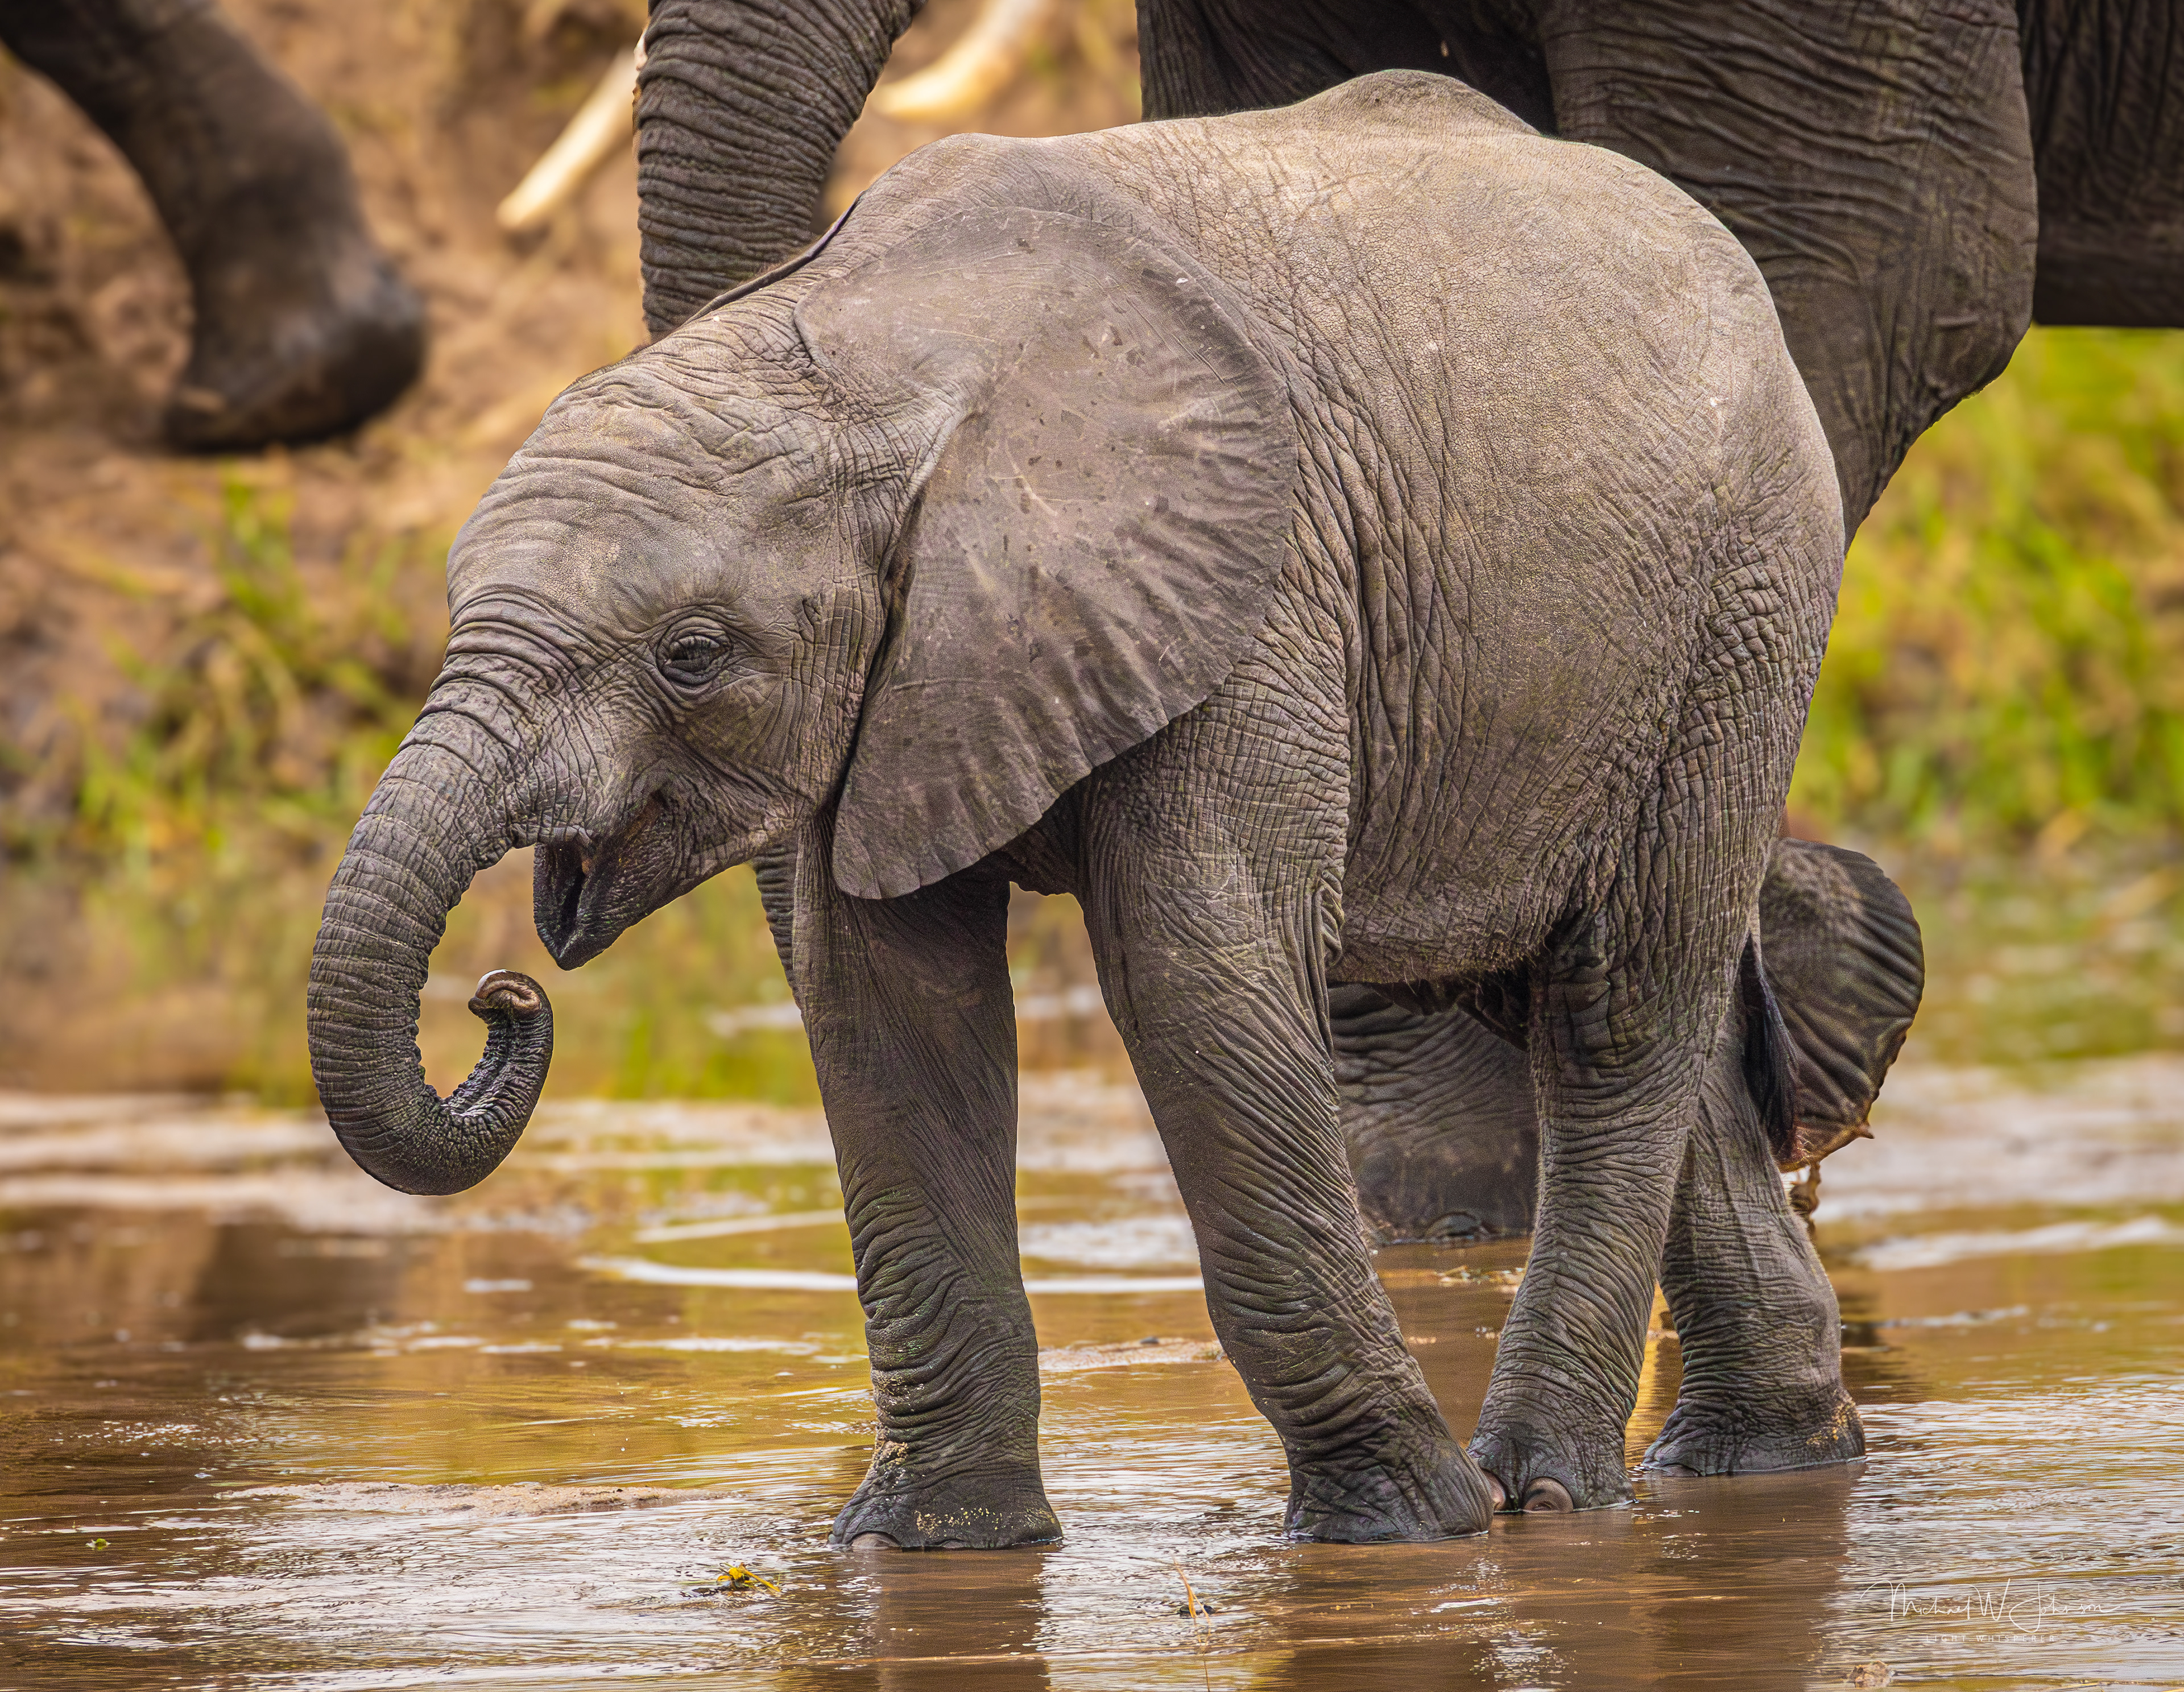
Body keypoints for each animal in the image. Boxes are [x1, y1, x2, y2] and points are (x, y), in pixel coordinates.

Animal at [309, 73, 1850, 1537]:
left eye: (691, 654)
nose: (499, 995)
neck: (868, 358)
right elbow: (887, 1008)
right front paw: (930, 1541)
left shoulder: (1250, 591)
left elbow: (1196, 983)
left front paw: (1407, 1523)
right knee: (1577, 995)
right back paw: (1766, 1454)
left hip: (1742, 611)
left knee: (1617, 1005)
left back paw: (1543, 1493)